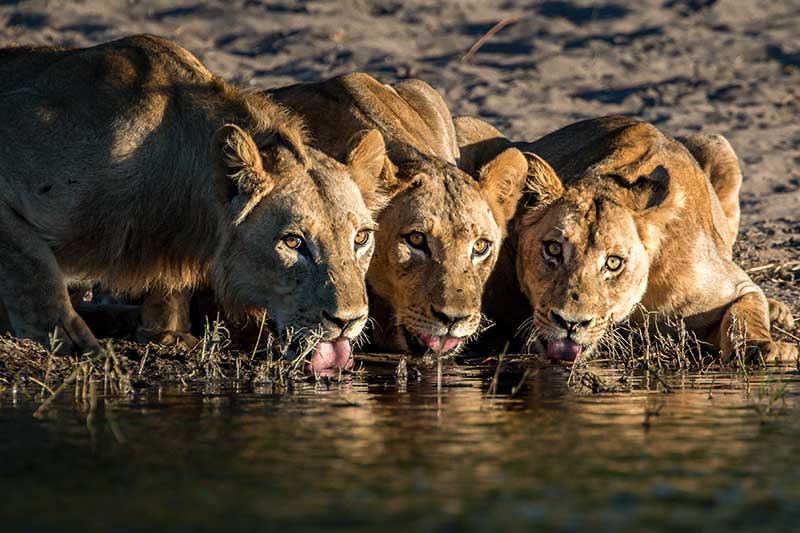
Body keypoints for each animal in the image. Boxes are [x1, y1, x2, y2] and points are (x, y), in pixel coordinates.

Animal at [0, 35, 390, 372]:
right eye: (293, 242)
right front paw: (71, 342)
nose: (349, 320)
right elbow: (35, 273)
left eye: (361, 238)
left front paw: (167, 333)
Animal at [454, 114, 796, 364]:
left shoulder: (732, 285)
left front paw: (764, 348)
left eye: (614, 263)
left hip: (718, 144)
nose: (570, 324)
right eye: (552, 249)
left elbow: (745, 313)